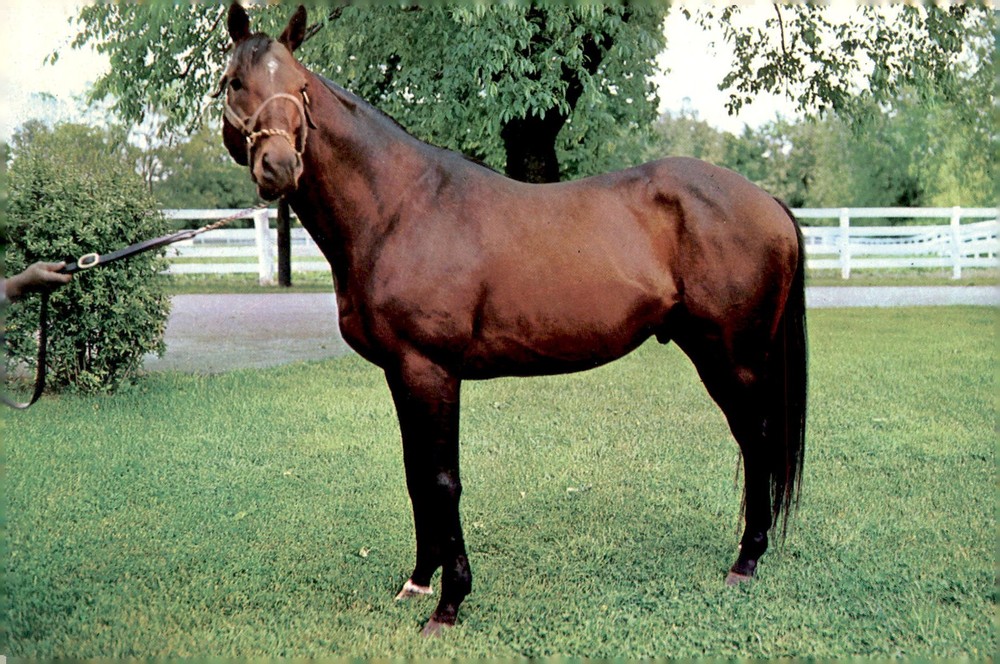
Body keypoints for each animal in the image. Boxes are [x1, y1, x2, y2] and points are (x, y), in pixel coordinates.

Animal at [218, 4, 807, 636]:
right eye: (235, 83)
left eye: (300, 87)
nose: (279, 165)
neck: (399, 209)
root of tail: (768, 203)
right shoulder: (402, 372)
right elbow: (415, 474)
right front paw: (418, 581)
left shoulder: (431, 370)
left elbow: (442, 481)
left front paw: (449, 604)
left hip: (731, 357)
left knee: (757, 439)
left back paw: (746, 561)